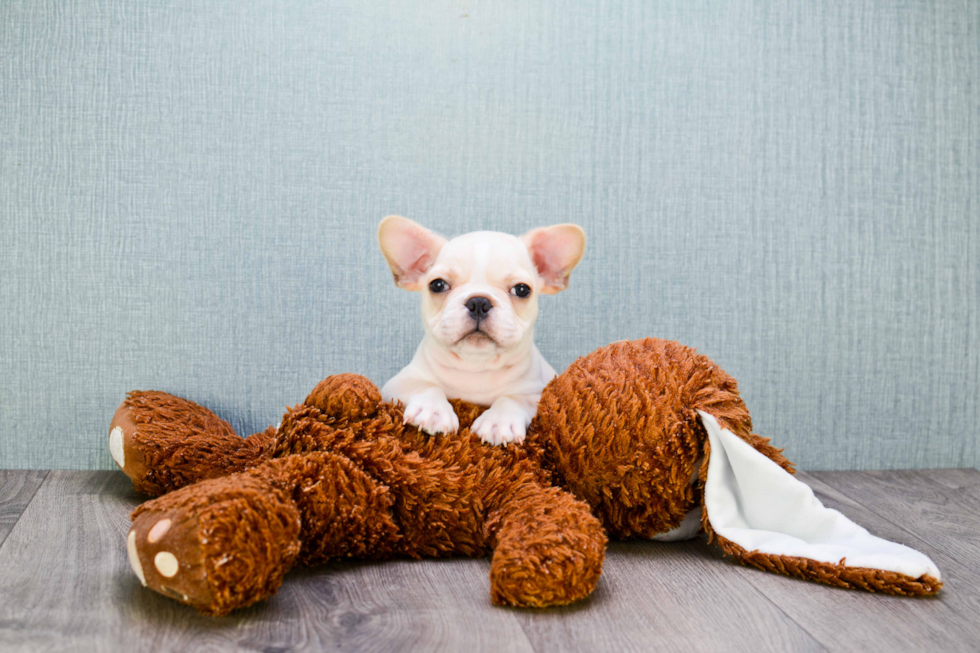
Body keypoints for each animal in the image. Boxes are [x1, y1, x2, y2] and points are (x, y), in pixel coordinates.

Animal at [378, 216, 584, 446]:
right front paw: (432, 410)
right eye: (437, 285)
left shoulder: (540, 392)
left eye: (522, 289)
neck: (476, 366)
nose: (478, 301)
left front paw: (499, 420)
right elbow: (425, 385)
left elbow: (514, 398)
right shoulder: (398, 383)